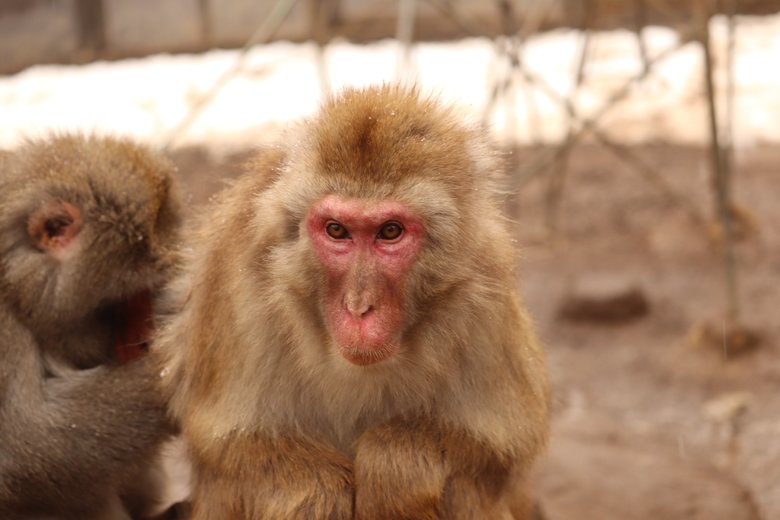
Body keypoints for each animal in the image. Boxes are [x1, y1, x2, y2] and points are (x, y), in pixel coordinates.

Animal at [154, 83, 548, 516]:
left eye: (390, 231)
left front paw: (392, 470)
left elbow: (495, 446)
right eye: (336, 230)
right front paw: (320, 490)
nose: (358, 307)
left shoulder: (484, 291)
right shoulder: (240, 290)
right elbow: (226, 447)